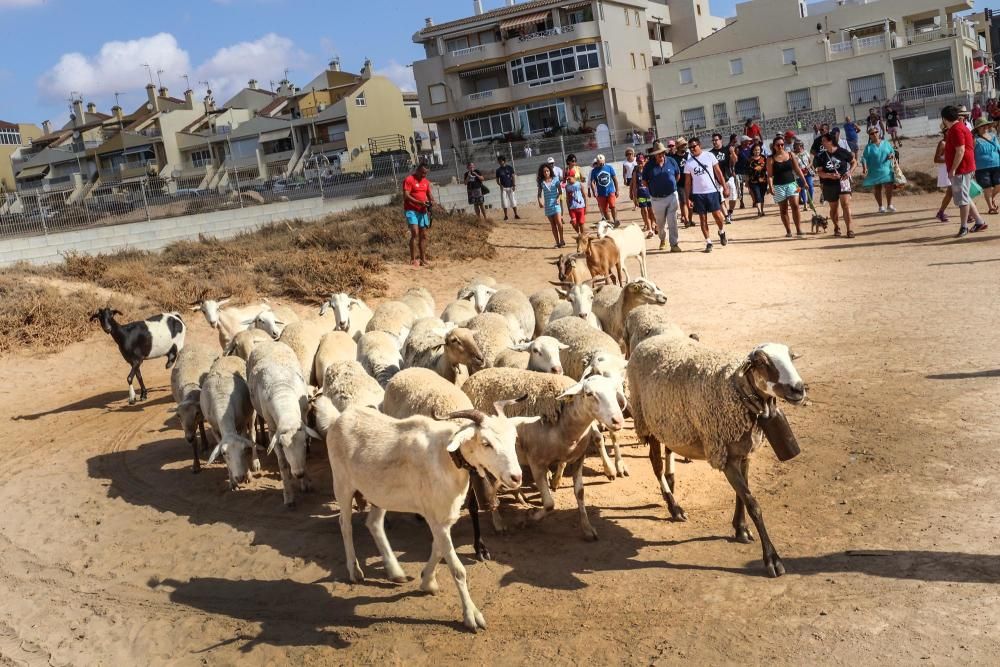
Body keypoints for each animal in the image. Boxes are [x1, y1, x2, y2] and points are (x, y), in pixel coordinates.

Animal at [200, 354, 258, 490]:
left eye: (243, 450)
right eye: (224, 453)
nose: (240, 477)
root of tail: (230, 356)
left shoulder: (241, 425)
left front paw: (248, 475)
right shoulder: (215, 429)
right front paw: (232, 481)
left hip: (251, 412)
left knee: (252, 434)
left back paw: (255, 462)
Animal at [245, 342, 316, 508]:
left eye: (305, 442)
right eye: (282, 445)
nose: (299, 474)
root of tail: (267, 342)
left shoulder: (303, 417)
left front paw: (305, 483)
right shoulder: (273, 431)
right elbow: (282, 464)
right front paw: (288, 495)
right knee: (252, 432)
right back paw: (256, 461)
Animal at [328, 402, 524, 632]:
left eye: (514, 438)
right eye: (486, 443)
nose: (516, 477)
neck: (446, 457)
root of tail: (342, 417)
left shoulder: (443, 516)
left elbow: (438, 549)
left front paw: (427, 581)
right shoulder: (437, 519)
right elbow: (458, 569)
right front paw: (472, 616)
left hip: (380, 494)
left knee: (374, 523)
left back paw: (395, 571)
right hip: (342, 484)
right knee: (345, 524)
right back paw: (355, 571)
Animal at [462, 368, 620, 544]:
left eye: (615, 390)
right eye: (589, 393)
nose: (618, 420)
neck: (562, 429)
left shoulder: (578, 460)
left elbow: (580, 493)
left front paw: (587, 529)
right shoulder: (537, 464)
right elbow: (549, 504)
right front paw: (529, 518)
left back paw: (518, 497)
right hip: (493, 467)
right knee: (491, 493)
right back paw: (499, 523)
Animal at [628, 340, 808, 580]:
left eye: (791, 357)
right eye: (762, 362)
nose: (798, 389)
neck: (736, 391)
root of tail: (645, 343)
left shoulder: (743, 453)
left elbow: (742, 494)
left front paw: (741, 529)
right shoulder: (724, 456)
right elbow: (753, 504)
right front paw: (772, 559)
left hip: (669, 425)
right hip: (646, 420)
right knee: (655, 465)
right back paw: (674, 507)